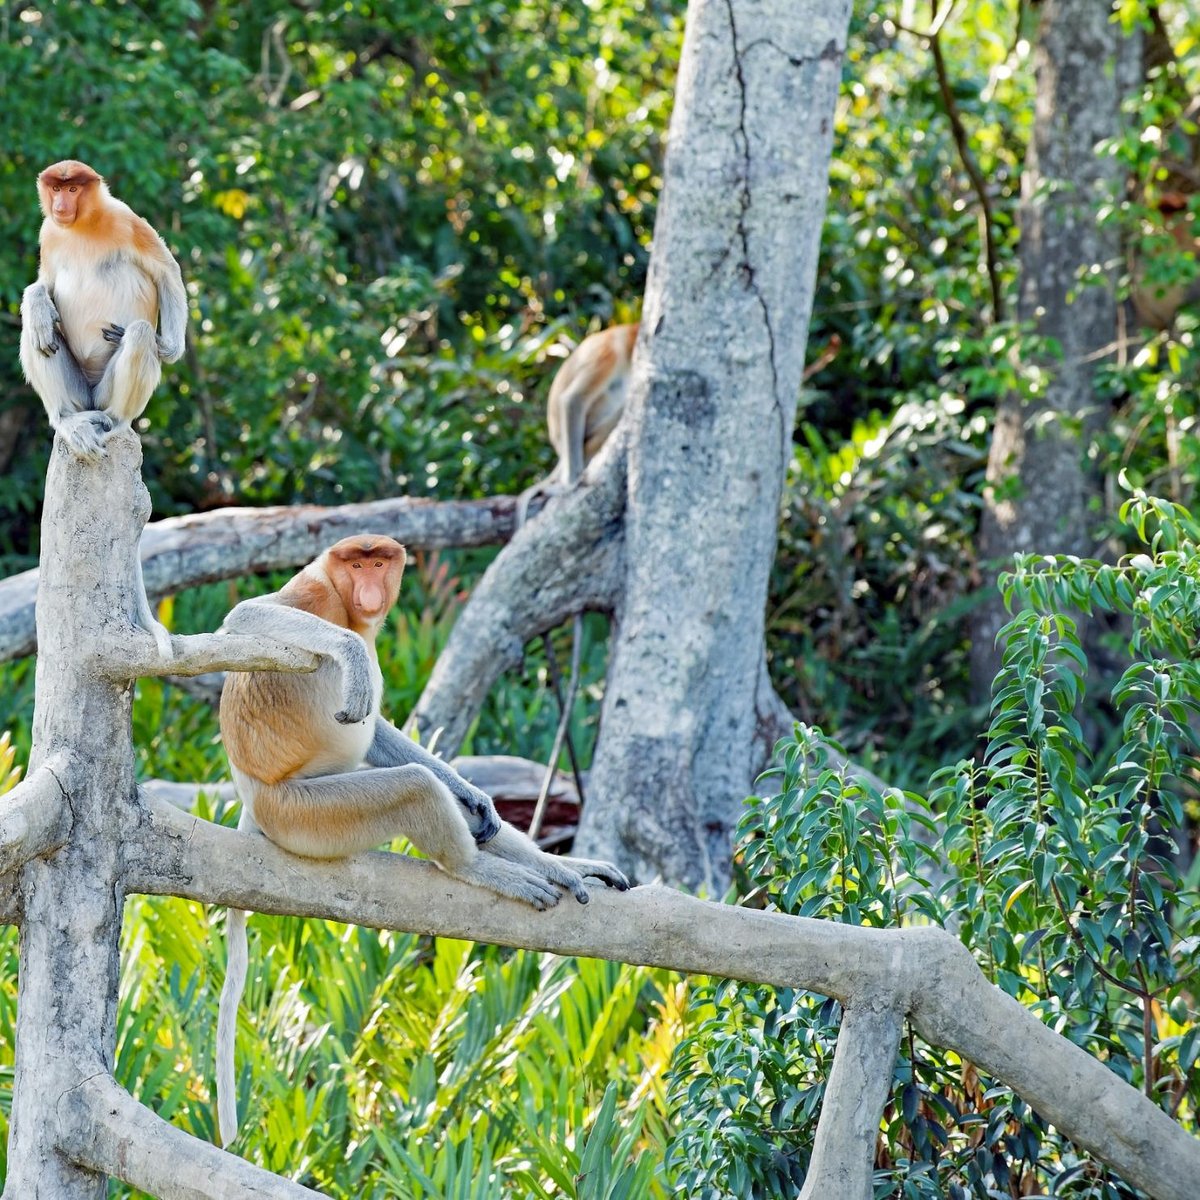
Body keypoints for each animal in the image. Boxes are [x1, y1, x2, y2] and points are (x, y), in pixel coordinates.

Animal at [217, 535, 633, 1142]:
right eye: (355, 564)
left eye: (379, 562)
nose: (370, 587)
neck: (346, 604)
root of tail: (254, 797)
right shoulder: (314, 592)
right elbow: (245, 617)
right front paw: (352, 655)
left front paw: (479, 798)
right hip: (305, 813)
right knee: (412, 787)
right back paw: (479, 869)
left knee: (440, 793)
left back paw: (557, 865)